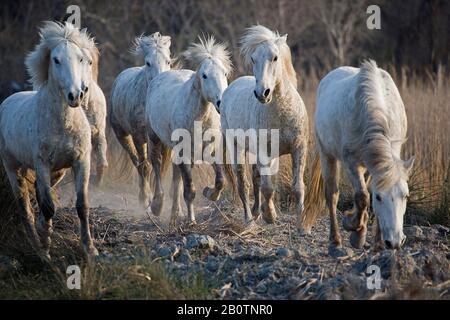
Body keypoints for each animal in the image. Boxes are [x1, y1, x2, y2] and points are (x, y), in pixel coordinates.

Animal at [0, 21, 98, 258]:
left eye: (81, 59)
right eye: (56, 60)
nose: (76, 95)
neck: (64, 125)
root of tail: (7, 102)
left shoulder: (81, 162)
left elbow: (82, 206)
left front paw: (90, 250)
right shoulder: (42, 164)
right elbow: (48, 207)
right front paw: (45, 247)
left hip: (58, 172)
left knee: (37, 193)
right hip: (13, 167)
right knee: (24, 206)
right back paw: (36, 244)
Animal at [110, 33, 171, 208]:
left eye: (168, 60)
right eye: (148, 62)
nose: (159, 83)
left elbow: (161, 167)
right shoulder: (138, 134)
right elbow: (145, 165)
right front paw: (146, 199)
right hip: (122, 134)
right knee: (137, 161)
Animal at [146, 36, 232, 224]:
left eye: (224, 73)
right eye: (204, 75)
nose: (221, 102)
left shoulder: (210, 150)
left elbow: (221, 181)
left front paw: (209, 192)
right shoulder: (184, 153)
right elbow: (190, 191)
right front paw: (191, 221)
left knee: (176, 177)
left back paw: (175, 214)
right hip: (154, 137)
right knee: (156, 163)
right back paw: (157, 206)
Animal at [221, 25, 310, 225]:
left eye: (275, 57)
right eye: (253, 59)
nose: (262, 93)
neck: (282, 113)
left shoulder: (299, 149)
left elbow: (297, 186)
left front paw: (300, 218)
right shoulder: (264, 152)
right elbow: (267, 187)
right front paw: (269, 215)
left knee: (255, 178)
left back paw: (256, 212)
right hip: (236, 147)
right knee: (243, 183)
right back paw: (249, 218)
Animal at [302, 60, 414, 255]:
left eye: (405, 196)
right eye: (379, 197)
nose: (395, 241)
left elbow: (365, 196)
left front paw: (376, 242)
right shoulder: (351, 163)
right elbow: (362, 197)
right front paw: (354, 230)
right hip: (327, 155)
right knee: (332, 195)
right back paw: (335, 240)